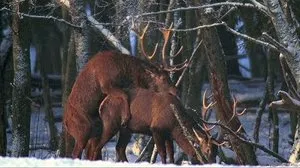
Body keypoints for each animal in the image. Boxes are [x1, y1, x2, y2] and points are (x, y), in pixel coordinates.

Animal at [63, 23, 188, 159]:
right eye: (163, 78)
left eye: (169, 76)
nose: (177, 92)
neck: (124, 72)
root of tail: (65, 124)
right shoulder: (105, 82)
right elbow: (124, 95)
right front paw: (125, 117)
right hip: (82, 130)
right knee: (76, 153)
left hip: (95, 131)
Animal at [84, 88, 220, 164]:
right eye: (207, 149)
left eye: (216, 150)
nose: (212, 163)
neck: (174, 124)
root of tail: (102, 103)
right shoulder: (156, 129)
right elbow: (162, 153)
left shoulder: (169, 135)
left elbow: (171, 153)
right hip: (111, 123)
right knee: (97, 145)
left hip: (126, 129)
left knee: (119, 148)